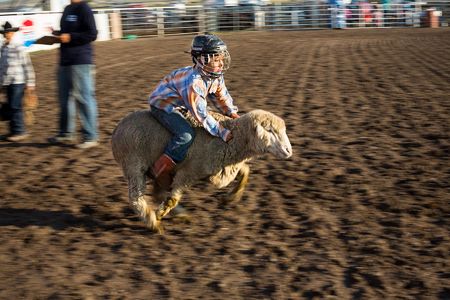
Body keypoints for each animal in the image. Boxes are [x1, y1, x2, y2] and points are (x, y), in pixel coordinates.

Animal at [111, 109, 294, 233]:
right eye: (269, 130)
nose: (288, 151)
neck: (230, 140)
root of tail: (117, 130)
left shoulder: (224, 167)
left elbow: (245, 172)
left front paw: (231, 197)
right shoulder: (187, 173)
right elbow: (173, 199)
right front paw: (160, 214)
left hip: (156, 171)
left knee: (158, 193)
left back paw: (177, 215)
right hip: (134, 165)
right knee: (136, 198)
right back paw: (153, 222)